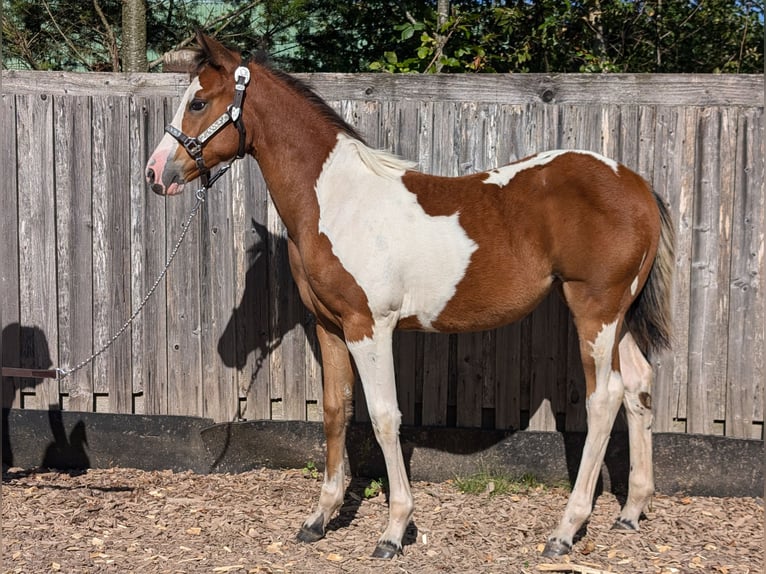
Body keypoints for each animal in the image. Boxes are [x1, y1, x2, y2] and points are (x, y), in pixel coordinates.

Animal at [144, 32, 672, 564]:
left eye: (198, 102)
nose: (154, 173)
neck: (339, 200)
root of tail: (636, 184)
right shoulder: (329, 326)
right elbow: (335, 412)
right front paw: (319, 519)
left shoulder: (369, 326)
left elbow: (383, 417)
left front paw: (394, 531)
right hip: (620, 316)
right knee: (638, 385)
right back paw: (630, 512)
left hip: (595, 312)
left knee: (604, 399)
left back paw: (565, 530)